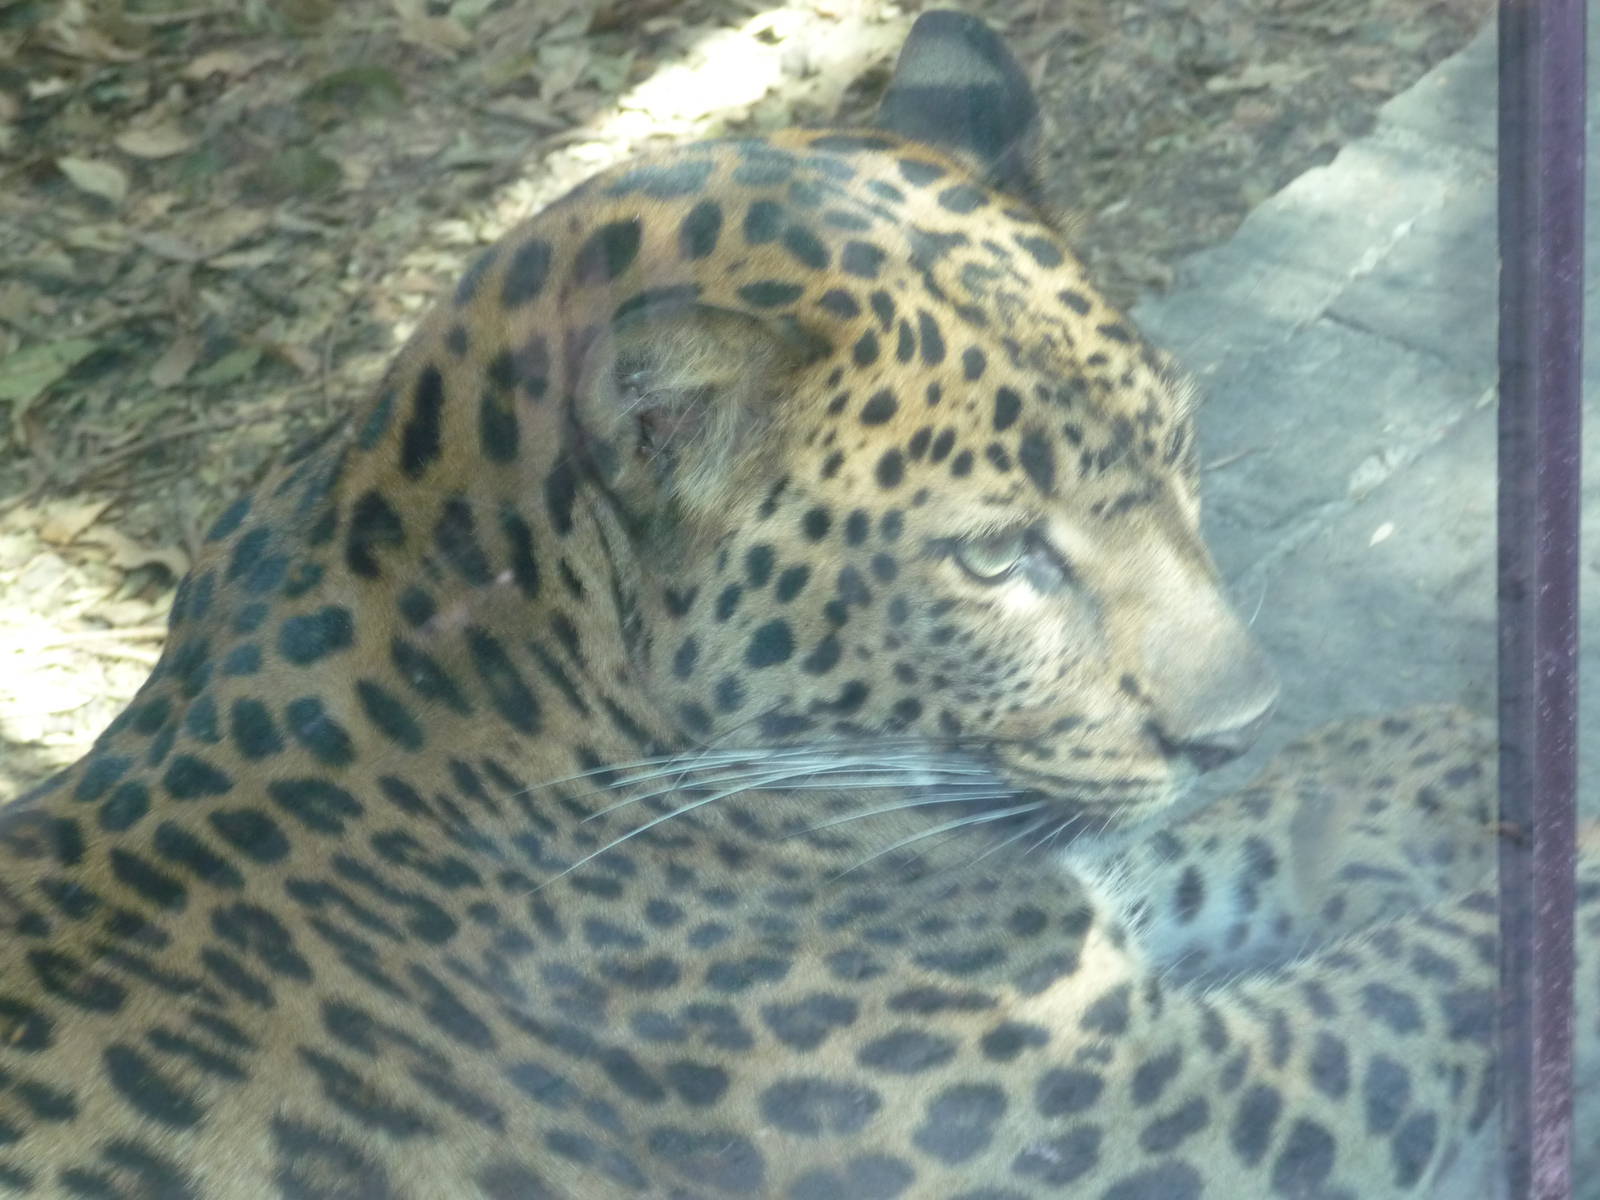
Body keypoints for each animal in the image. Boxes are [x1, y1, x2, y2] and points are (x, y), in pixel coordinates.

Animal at [2, 10, 1595, 1198]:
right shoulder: (1160, 1109)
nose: (1238, 726)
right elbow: (1416, 976)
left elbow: (1191, 848)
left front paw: (1439, 767)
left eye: (1178, 445)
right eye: (994, 560)